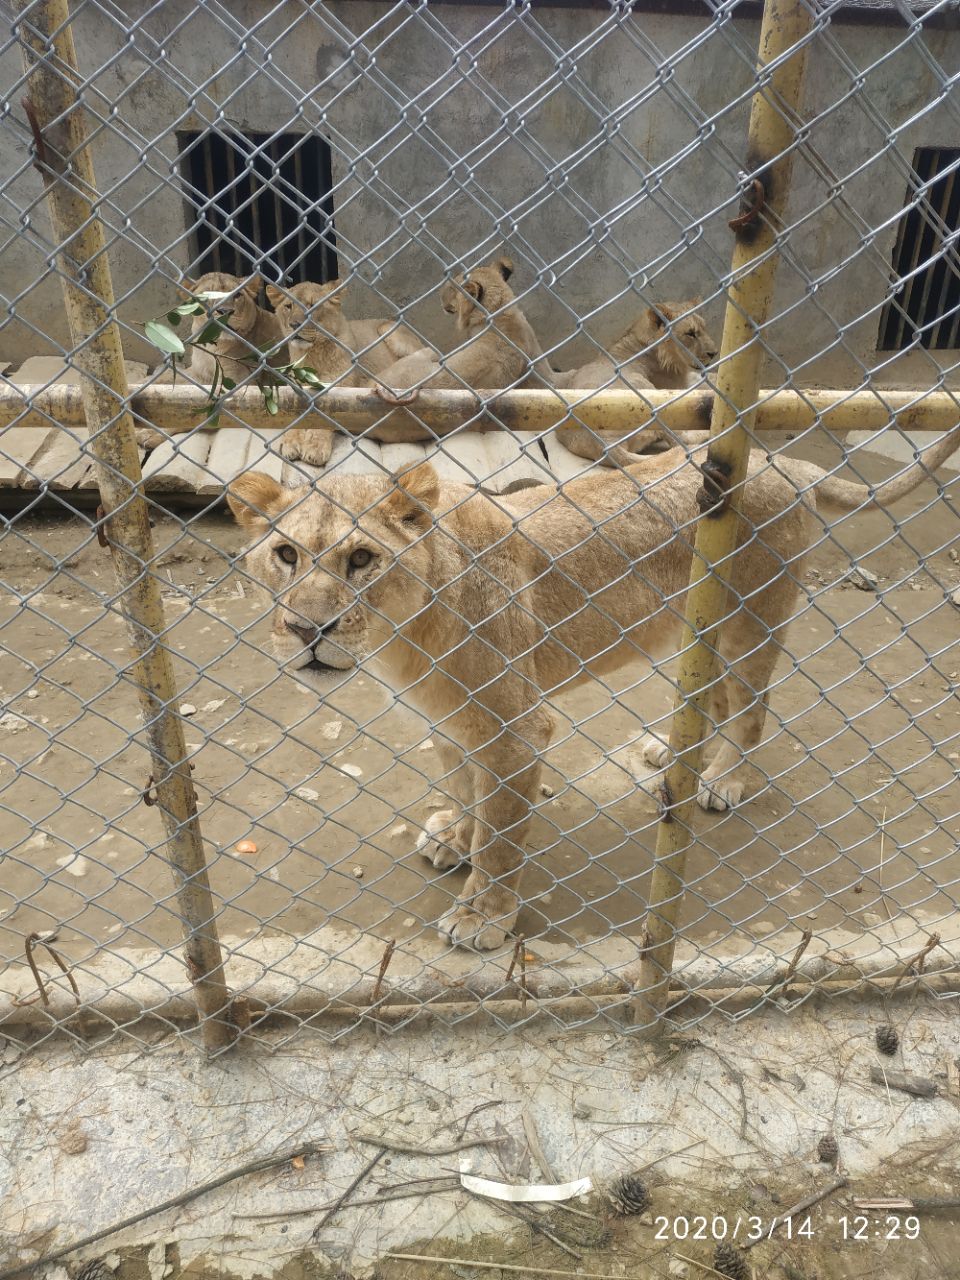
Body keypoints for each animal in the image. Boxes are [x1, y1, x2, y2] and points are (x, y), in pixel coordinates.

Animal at [227, 430, 960, 952]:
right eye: (286, 555)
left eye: (361, 559)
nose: (306, 630)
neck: (401, 638)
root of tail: (791, 463)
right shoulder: (451, 723)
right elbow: (464, 789)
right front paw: (456, 834)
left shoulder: (517, 730)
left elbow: (502, 837)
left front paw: (483, 916)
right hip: (703, 628)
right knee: (718, 699)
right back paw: (674, 757)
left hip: (752, 620)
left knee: (752, 707)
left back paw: (723, 780)